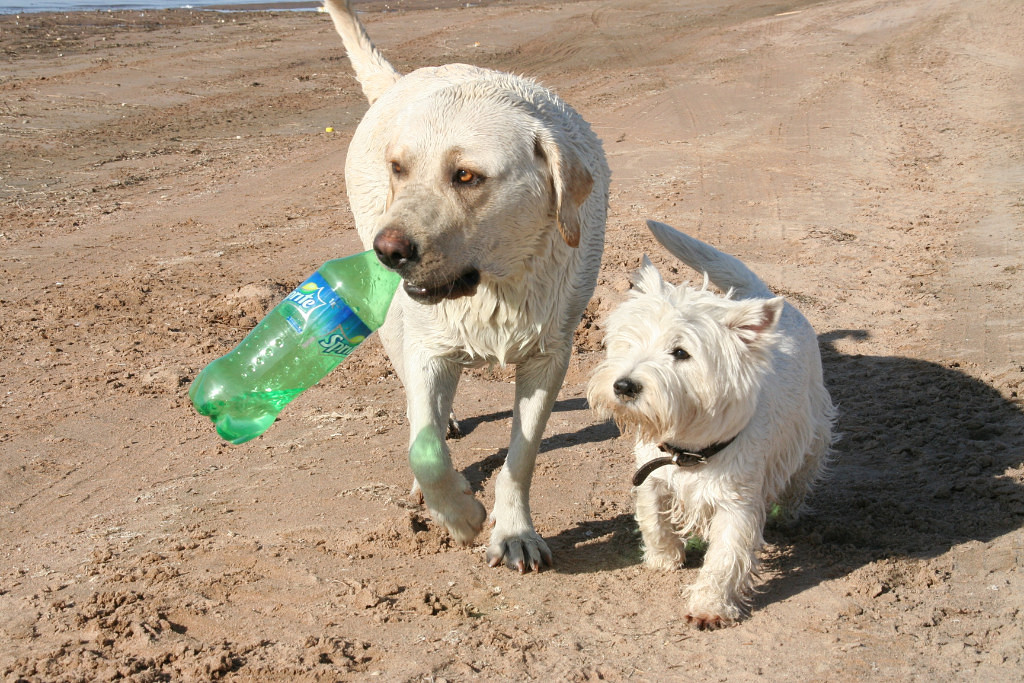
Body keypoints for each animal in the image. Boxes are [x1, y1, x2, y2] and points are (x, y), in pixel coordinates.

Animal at [323, 0, 606, 573]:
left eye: (467, 176)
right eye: (398, 168)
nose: (388, 250)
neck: (497, 287)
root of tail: (401, 81)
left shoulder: (550, 356)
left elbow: (522, 456)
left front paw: (514, 531)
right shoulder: (429, 346)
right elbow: (425, 449)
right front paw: (459, 514)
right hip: (394, 322)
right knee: (417, 406)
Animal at [589, 220, 835, 630]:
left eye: (681, 352)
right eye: (630, 341)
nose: (623, 386)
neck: (688, 447)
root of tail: (763, 296)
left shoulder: (737, 501)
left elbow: (725, 555)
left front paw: (710, 606)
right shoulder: (651, 475)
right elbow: (652, 516)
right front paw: (663, 557)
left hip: (812, 426)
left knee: (803, 474)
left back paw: (791, 513)